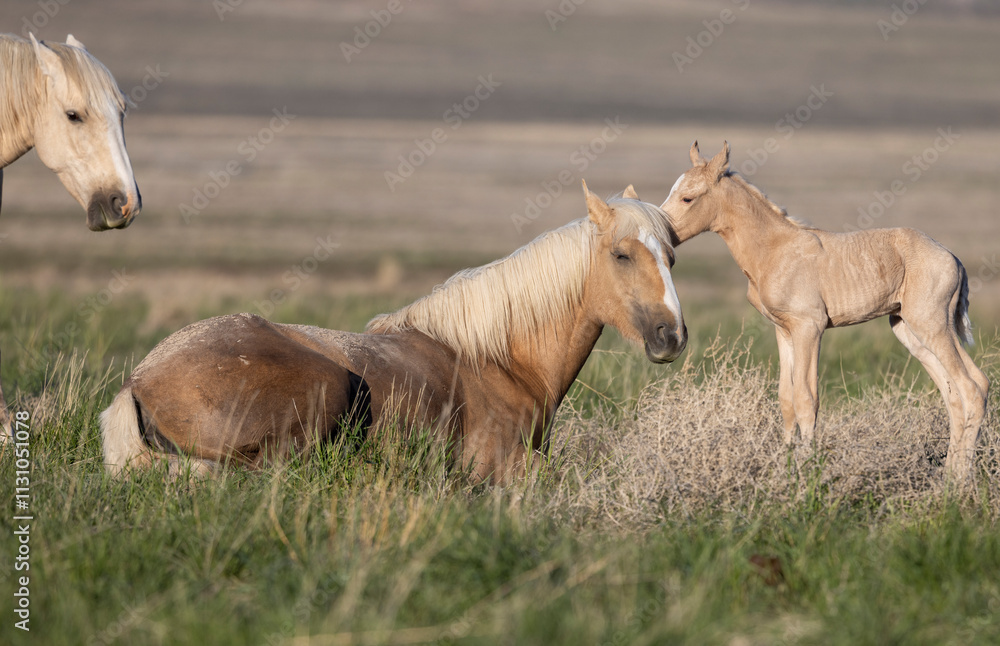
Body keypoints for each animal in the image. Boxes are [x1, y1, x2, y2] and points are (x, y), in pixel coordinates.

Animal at [100, 183, 687, 483]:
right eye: (621, 254)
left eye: (672, 256)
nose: (672, 336)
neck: (501, 362)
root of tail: (139, 380)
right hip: (326, 387)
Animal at [658, 141, 989, 481]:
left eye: (687, 197)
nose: (663, 238)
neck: (773, 249)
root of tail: (953, 259)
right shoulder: (784, 331)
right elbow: (786, 399)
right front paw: (784, 472)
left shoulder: (810, 328)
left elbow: (807, 398)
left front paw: (807, 474)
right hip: (906, 329)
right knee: (954, 393)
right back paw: (949, 475)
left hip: (932, 324)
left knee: (972, 387)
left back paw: (961, 481)